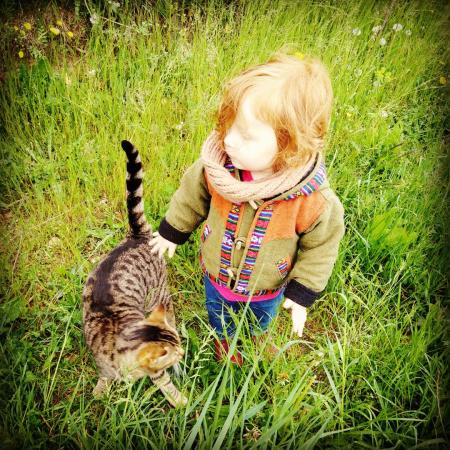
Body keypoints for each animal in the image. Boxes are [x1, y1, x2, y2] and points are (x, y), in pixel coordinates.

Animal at [82, 140, 187, 408]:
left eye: (179, 348)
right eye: (175, 353)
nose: (183, 352)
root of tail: (137, 236)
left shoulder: (156, 372)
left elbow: (164, 383)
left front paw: (180, 401)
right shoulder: (104, 364)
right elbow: (104, 378)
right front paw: (100, 391)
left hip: (158, 294)